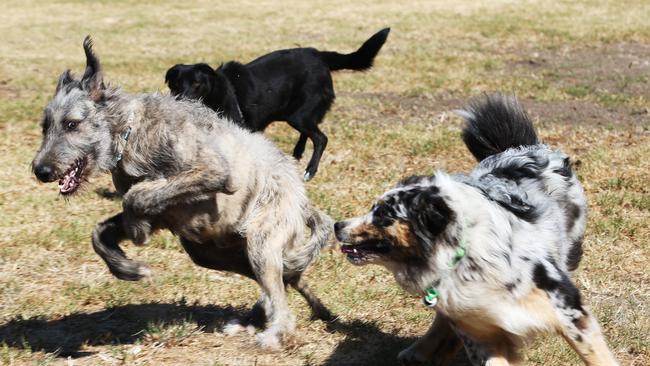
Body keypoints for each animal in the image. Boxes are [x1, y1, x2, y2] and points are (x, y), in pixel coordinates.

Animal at [30, 37, 334, 348]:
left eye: (71, 124)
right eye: (45, 127)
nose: (40, 170)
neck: (130, 132)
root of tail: (303, 203)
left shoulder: (215, 172)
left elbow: (135, 197)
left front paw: (137, 229)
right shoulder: (163, 215)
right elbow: (101, 232)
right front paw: (128, 269)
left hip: (259, 244)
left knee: (281, 298)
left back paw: (273, 334)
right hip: (213, 252)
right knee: (289, 277)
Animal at [167, 27, 390, 180]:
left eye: (196, 84)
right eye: (176, 84)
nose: (182, 101)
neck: (217, 93)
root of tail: (319, 55)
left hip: (298, 115)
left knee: (321, 138)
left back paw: (310, 170)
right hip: (293, 112)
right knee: (311, 131)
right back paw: (298, 152)